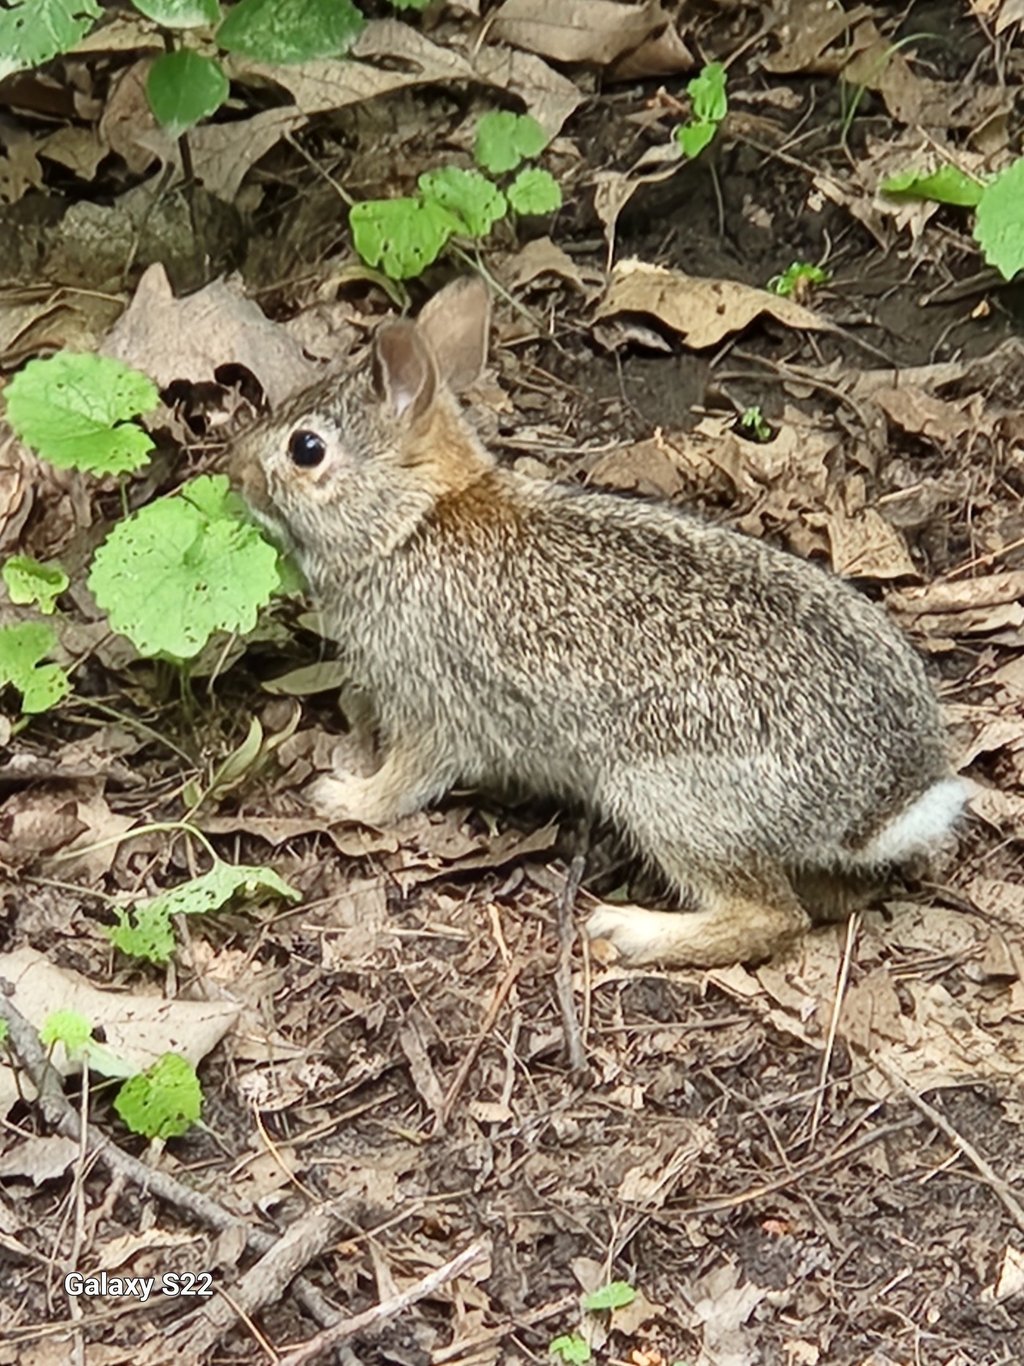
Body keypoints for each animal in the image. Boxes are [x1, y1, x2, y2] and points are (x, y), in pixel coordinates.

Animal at [231, 276, 967, 968]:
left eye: (306, 449)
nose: (236, 473)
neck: (412, 521)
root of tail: (881, 803)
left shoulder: (430, 701)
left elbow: (406, 780)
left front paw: (345, 798)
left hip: (665, 795)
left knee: (769, 918)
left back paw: (631, 929)